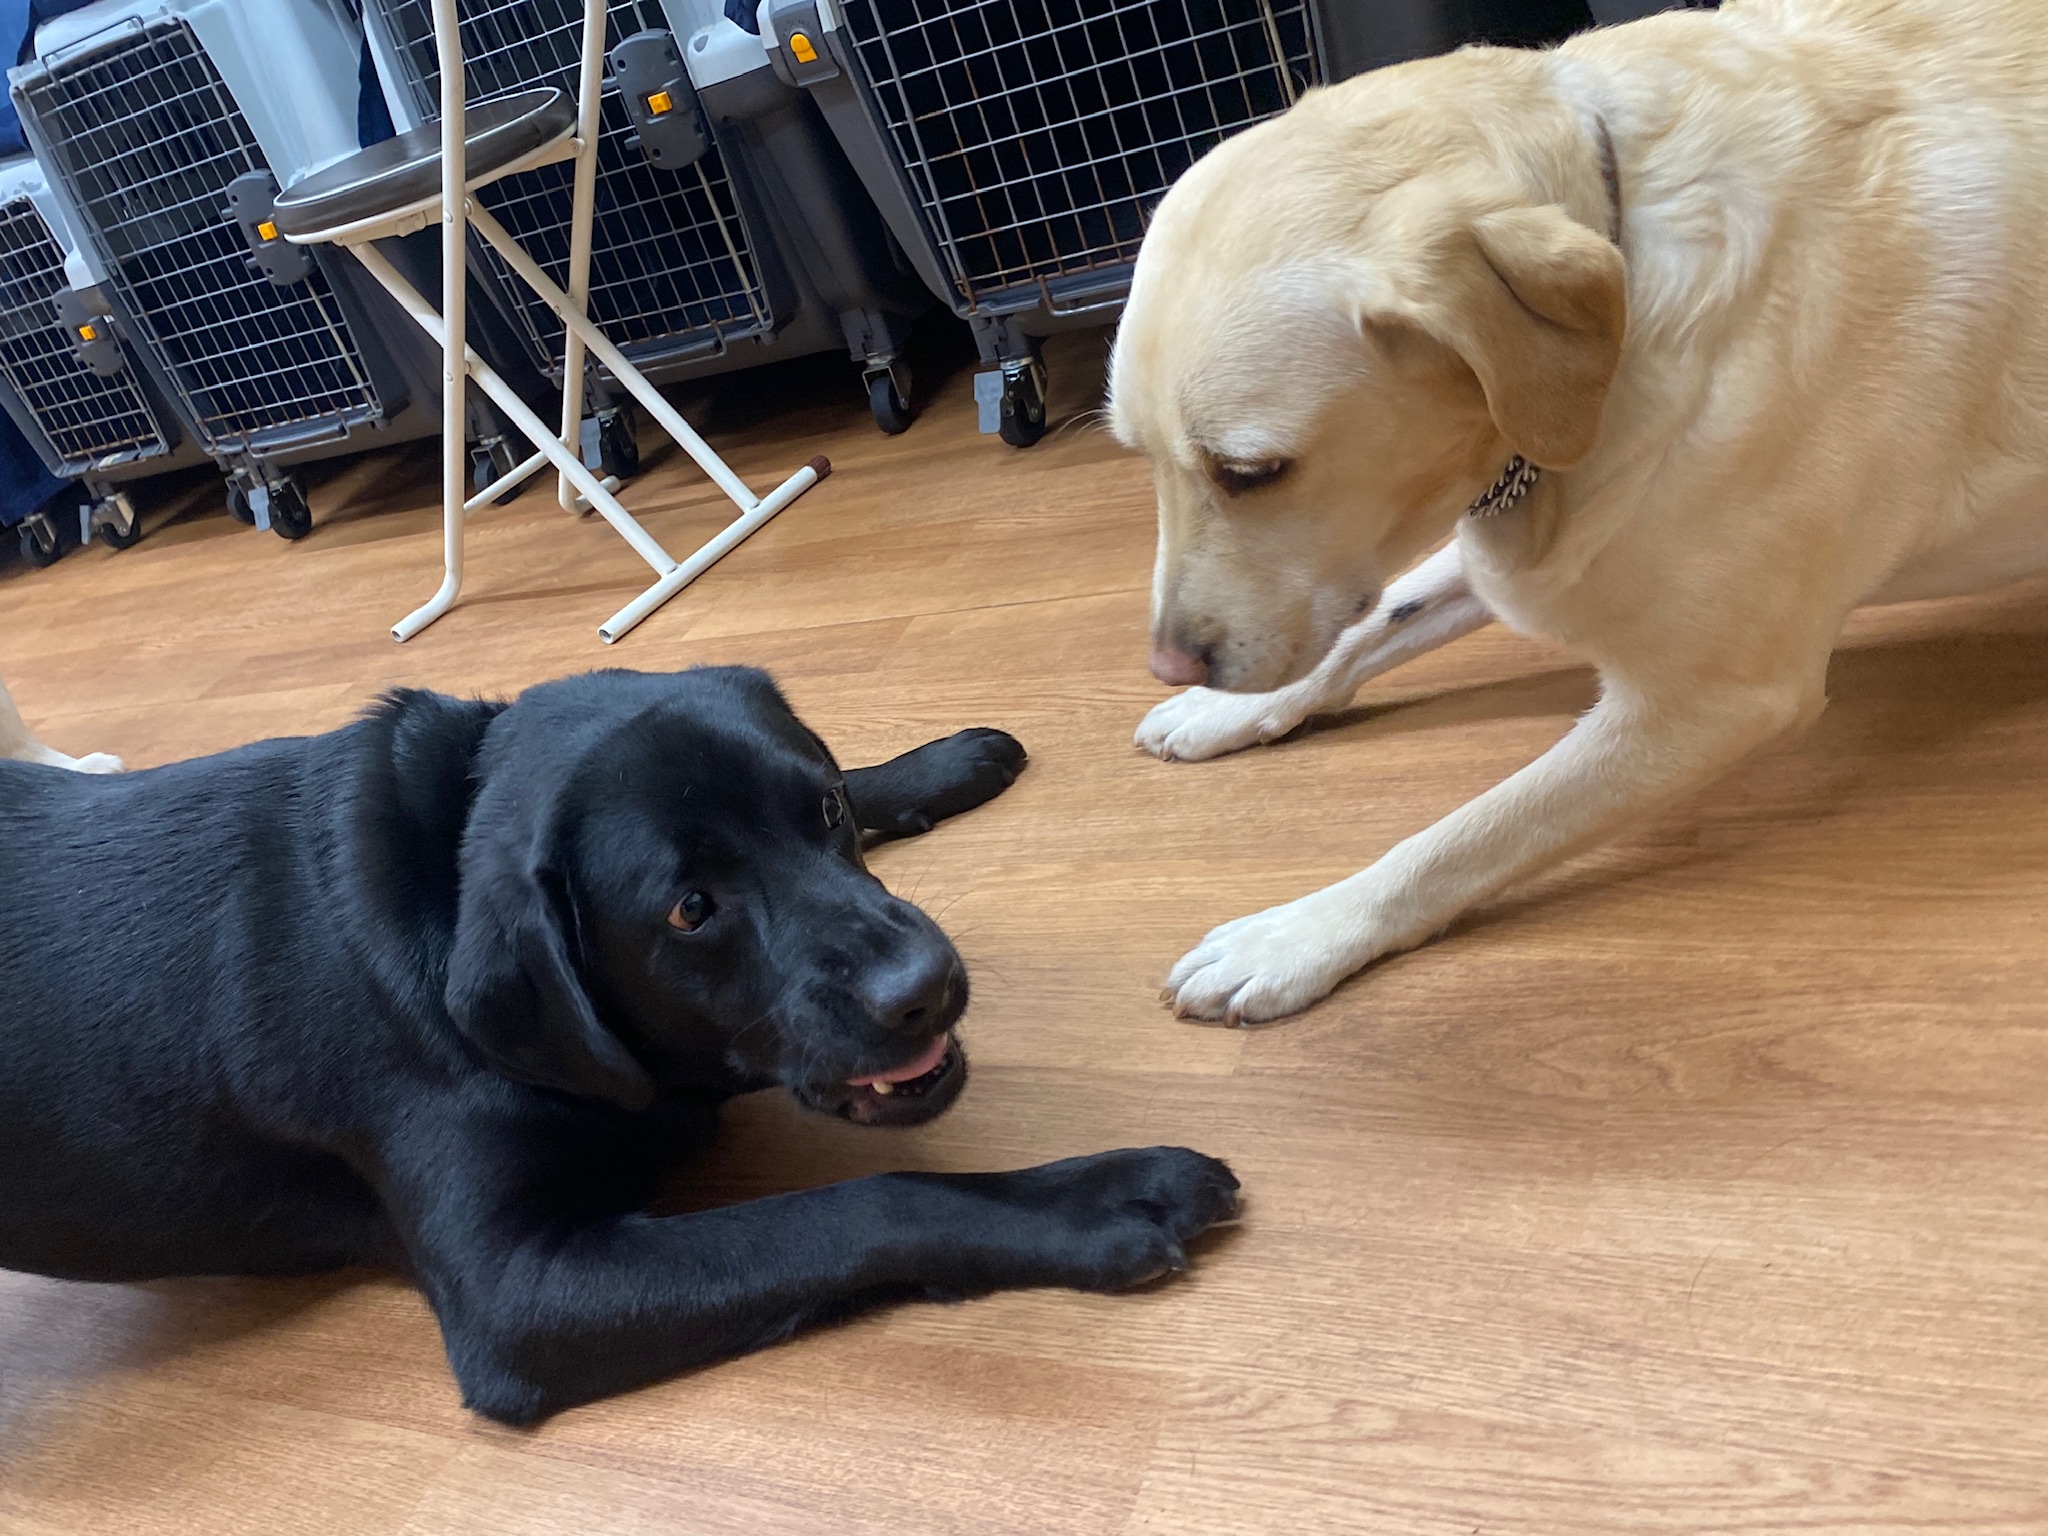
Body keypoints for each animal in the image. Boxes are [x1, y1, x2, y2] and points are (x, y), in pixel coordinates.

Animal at [0, 667, 1237, 1423]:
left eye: (824, 811)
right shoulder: (518, 1292)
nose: (924, 989)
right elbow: (868, 1203)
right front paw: (1099, 1201)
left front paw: (937, 763)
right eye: (689, 910)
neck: (431, 872)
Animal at [1110, 0, 2048, 1022]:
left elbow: (1468, 834)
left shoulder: (1714, 703)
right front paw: (1222, 713)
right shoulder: (1522, 543)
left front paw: (1299, 934)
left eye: (1250, 471)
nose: (1169, 664)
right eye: (1138, 453)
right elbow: (1372, 623)